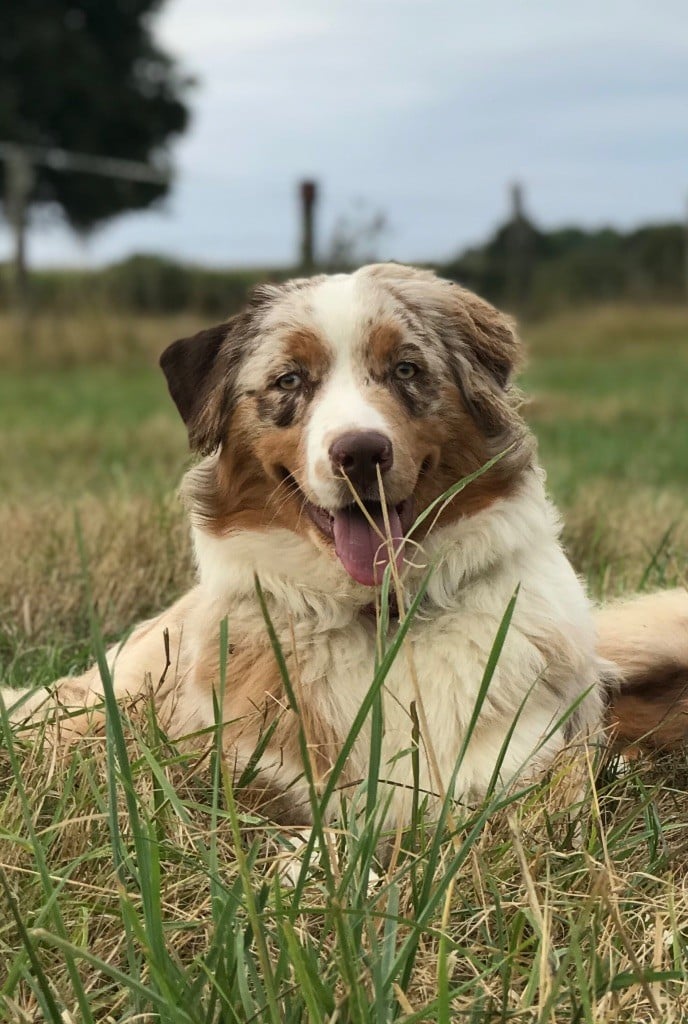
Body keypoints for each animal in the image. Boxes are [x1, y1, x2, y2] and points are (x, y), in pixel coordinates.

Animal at [4, 262, 688, 829]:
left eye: (406, 369)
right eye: (289, 380)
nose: (360, 453)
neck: (381, 615)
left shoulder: (534, 762)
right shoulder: (244, 777)